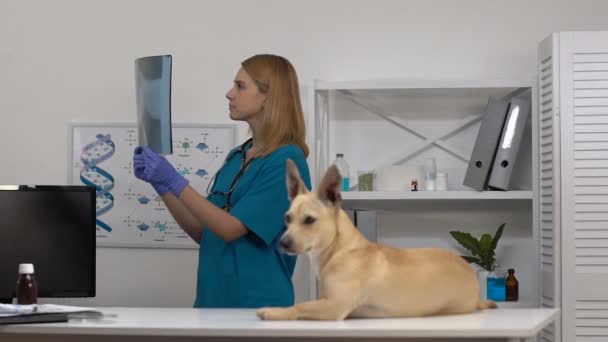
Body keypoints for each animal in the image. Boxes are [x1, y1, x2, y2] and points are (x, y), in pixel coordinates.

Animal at [254, 160, 496, 320]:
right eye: (287, 218)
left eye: (309, 220)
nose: (283, 243)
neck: (338, 249)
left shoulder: (334, 305)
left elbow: (301, 306)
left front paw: (274, 310)